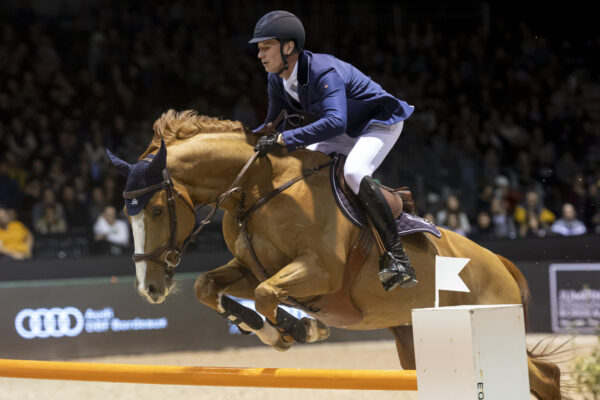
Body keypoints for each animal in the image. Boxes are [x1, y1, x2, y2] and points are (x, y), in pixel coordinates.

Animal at [106, 108, 568, 398]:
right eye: (127, 214)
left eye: (157, 209)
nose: (149, 289)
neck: (257, 189)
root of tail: (500, 262)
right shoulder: (252, 269)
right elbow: (210, 287)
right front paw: (271, 328)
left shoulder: (319, 273)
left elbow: (268, 296)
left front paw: (300, 330)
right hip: (413, 344)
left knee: (546, 377)